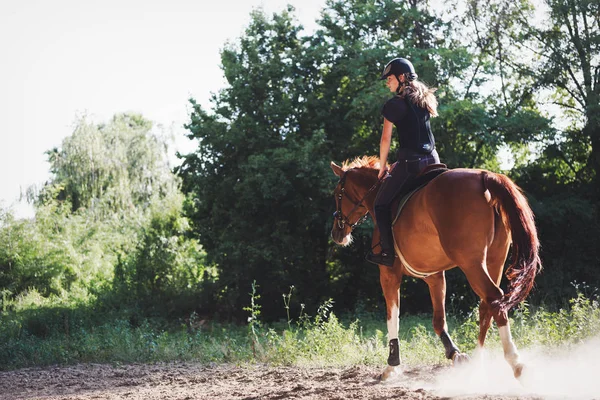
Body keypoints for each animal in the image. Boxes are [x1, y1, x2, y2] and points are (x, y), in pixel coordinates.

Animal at [330, 156, 540, 382]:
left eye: (337, 193)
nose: (336, 233)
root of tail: (484, 176)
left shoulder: (388, 274)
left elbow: (392, 317)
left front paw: (392, 365)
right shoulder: (435, 276)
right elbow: (439, 321)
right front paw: (455, 354)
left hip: (471, 263)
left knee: (493, 297)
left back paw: (515, 362)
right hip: (494, 261)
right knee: (488, 305)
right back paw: (477, 363)